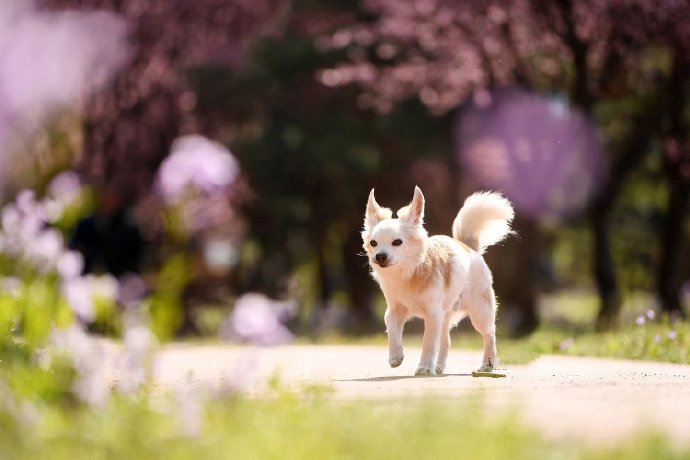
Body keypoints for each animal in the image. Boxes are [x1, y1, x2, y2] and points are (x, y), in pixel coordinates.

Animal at [360, 185, 510, 376]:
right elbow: (393, 331)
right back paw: (439, 367)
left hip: (480, 312)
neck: (408, 273)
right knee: (446, 340)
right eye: (373, 243)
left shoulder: (432, 315)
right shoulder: (395, 311)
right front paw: (395, 356)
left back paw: (487, 365)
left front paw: (424, 368)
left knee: (490, 336)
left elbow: (429, 342)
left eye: (397, 242)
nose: (379, 256)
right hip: (446, 315)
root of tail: (469, 248)